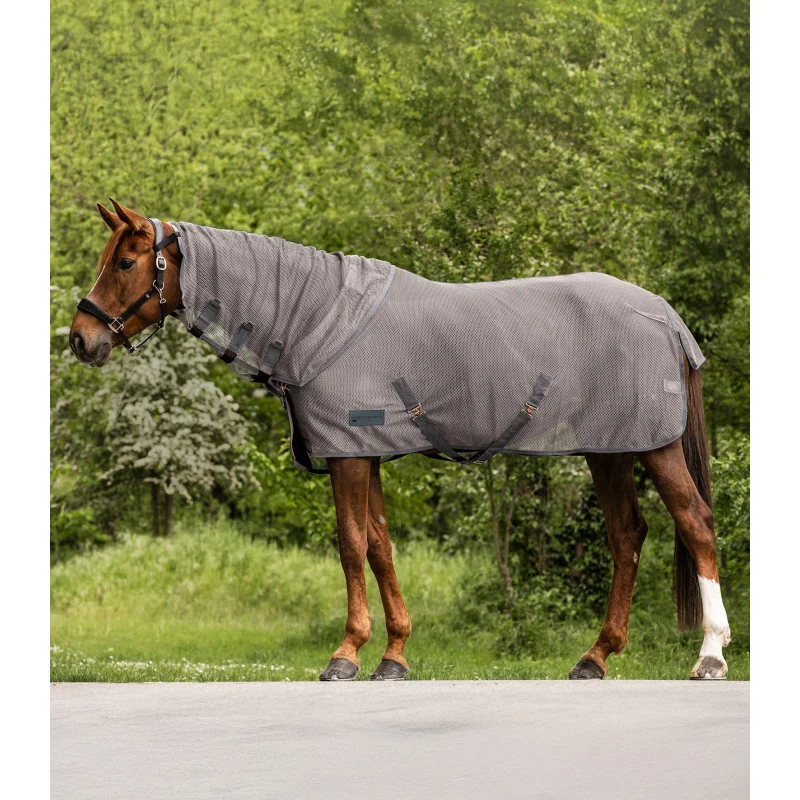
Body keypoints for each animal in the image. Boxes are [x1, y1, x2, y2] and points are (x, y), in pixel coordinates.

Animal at [69, 199, 731, 682]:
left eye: (124, 263)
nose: (79, 339)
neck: (317, 320)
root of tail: (666, 316)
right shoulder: (368, 454)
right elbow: (381, 547)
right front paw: (393, 657)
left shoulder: (347, 455)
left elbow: (350, 545)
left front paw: (345, 654)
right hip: (609, 451)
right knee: (628, 537)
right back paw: (594, 658)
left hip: (653, 447)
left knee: (695, 522)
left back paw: (710, 655)